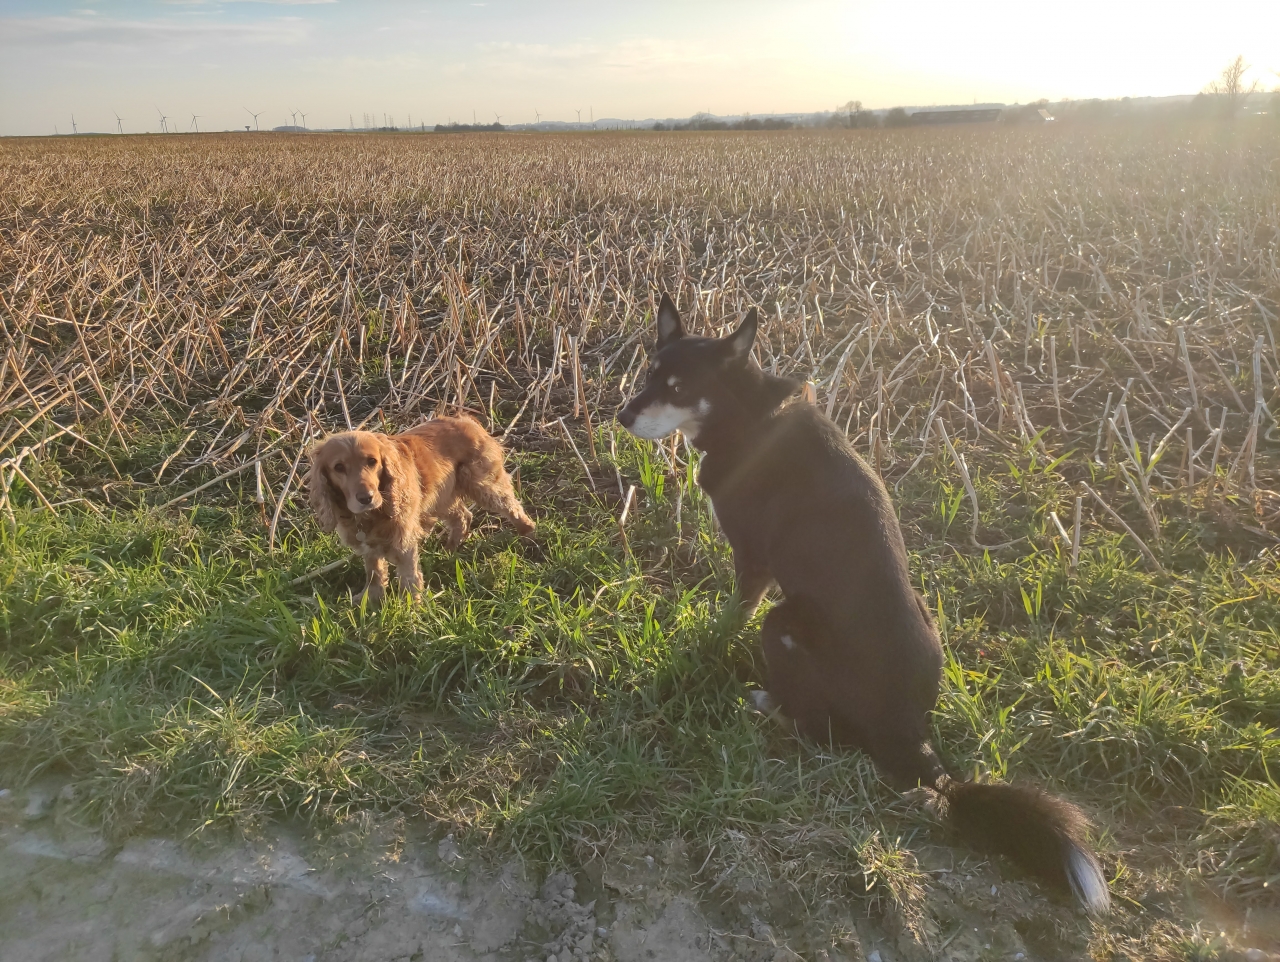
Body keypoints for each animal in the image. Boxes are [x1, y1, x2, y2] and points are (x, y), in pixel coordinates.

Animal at [306, 416, 534, 605]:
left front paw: (410, 606)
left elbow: (409, 575)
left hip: (483, 484)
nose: (366, 498)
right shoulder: (368, 546)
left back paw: (528, 535)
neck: (370, 515)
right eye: (338, 467)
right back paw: (449, 549)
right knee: (463, 515)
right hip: (441, 498)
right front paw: (370, 598)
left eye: (372, 461)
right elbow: (374, 571)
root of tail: (465, 419)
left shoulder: (404, 540)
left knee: (512, 506)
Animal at [617, 293, 1110, 916]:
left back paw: (768, 704)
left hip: (784, 624)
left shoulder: (755, 565)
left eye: (679, 388)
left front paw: (701, 648)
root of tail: (911, 734)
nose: (621, 417)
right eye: (648, 374)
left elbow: (730, 617)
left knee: (820, 731)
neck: (748, 415)